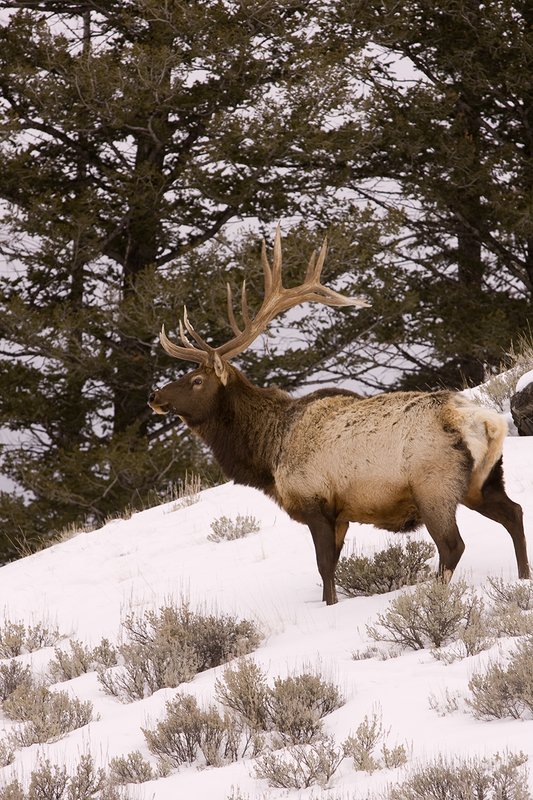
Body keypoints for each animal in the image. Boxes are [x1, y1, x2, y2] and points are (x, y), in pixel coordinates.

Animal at [148, 228, 530, 604]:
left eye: (197, 381)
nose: (155, 396)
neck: (269, 453)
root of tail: (486, 422)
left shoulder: (316, 502)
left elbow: (324, 567)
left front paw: (329, 606)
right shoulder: (342, 513)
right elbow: (332, 565)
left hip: (434, 487)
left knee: (453, 545)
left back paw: (434, 598)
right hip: (482, 482)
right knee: (514, 513)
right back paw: (523, 579)